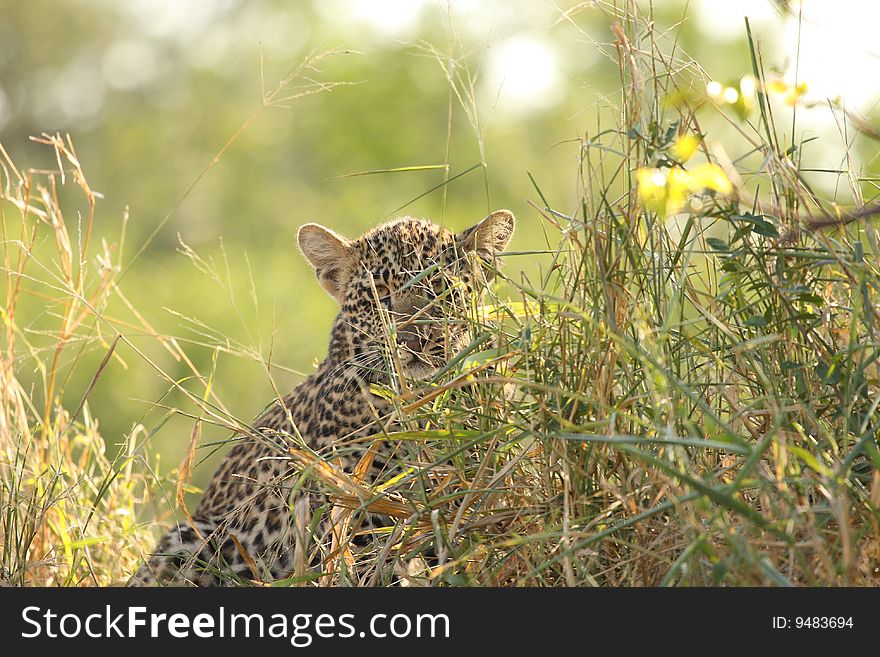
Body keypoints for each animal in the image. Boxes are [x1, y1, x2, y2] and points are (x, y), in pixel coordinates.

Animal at [130, 208, 516, 580]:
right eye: (380, 294)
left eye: (440, 289)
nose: (412, 341)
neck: (420, 399)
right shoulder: (350, 505)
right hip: (193, 539)